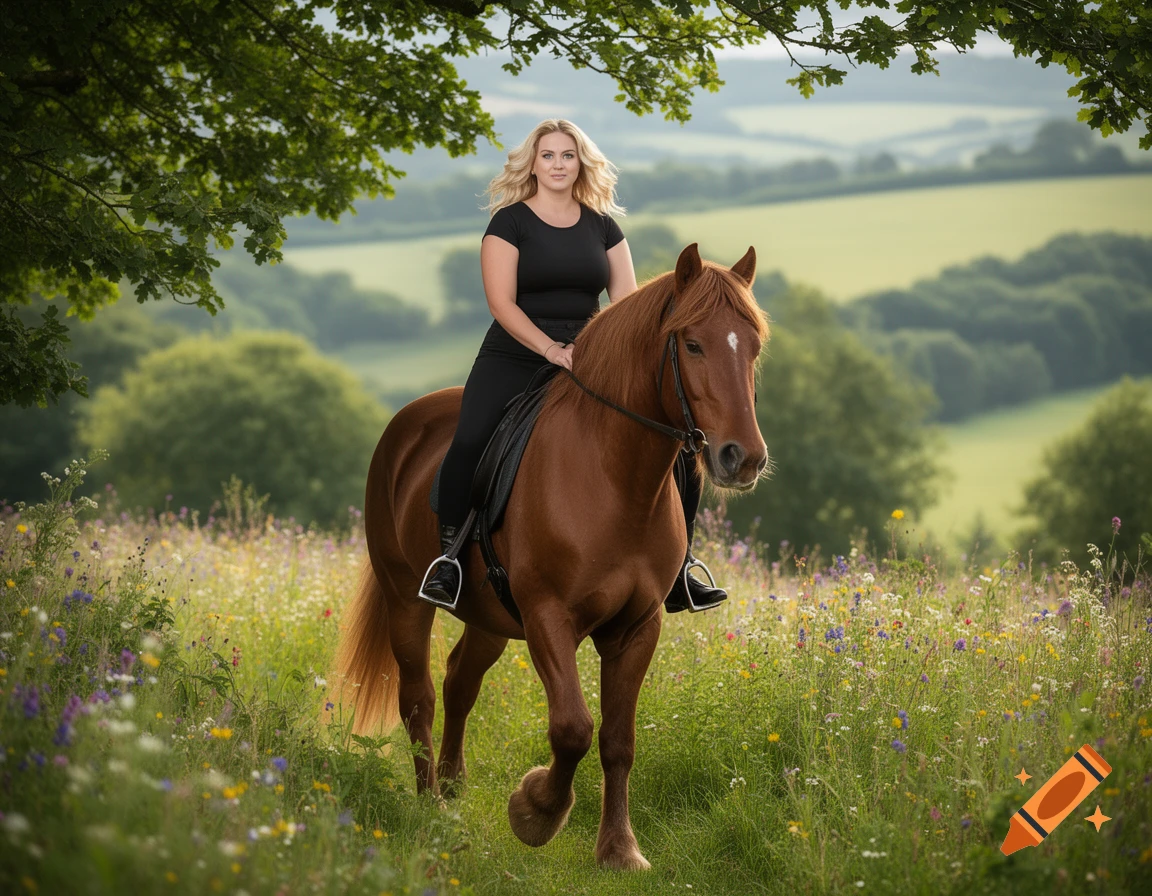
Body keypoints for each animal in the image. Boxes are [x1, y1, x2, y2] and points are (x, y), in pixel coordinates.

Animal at [330, 243, 770, 870]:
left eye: (753, 346)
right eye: (692, 344)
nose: (743, 458)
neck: (615, 476)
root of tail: (404, 425)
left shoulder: (637, 626)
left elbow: (617, 739)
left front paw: (620, 850)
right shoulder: (548, 617)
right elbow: (572, 728)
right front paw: (535, 811)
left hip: (490, 617)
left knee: (460, 680)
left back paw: (454, 789)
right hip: (405, 600)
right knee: (418, 697)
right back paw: (431, 807)